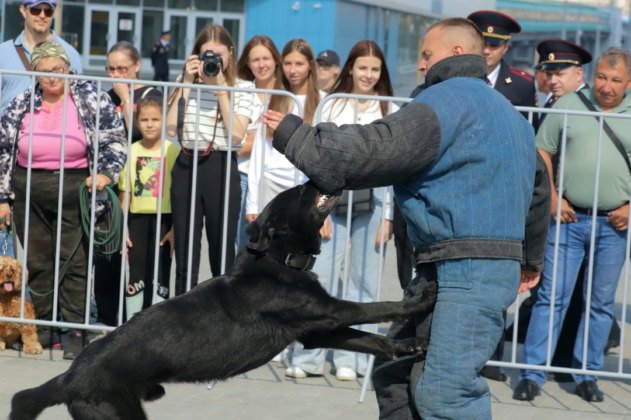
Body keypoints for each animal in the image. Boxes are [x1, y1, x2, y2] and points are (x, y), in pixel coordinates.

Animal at [9, 183, 436, 420]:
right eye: (300, 192)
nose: (315, 177)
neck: (279, 257)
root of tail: (68, 378)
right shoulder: (328, 311)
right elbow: (376, 308)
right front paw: (419, 301)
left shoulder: (315, 331)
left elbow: (370, 339)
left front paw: (410, 344)